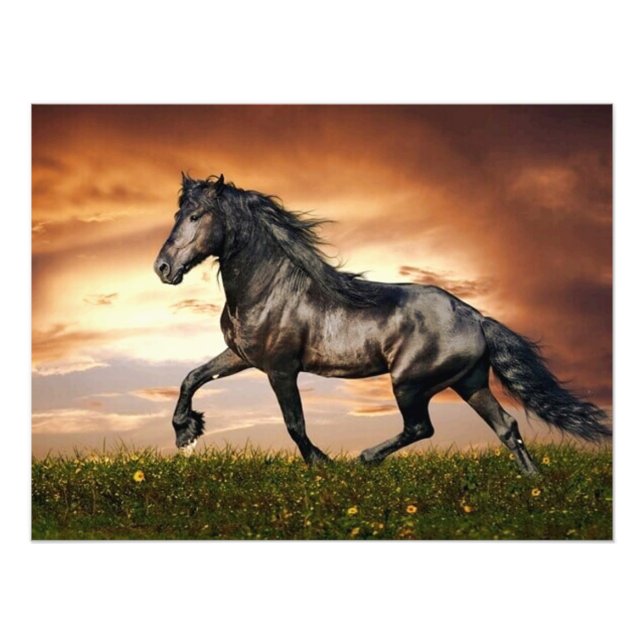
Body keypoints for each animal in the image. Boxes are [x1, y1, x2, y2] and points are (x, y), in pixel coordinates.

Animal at [154, 173, 610, 474]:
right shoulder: (241, 355)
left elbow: (294, 423)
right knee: (506, 426)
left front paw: (322, 464)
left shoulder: (280, 369)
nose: (163, 268)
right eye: (178, 213)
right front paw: (186, 432)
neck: (270, 288)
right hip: (470, 383)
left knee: (421, 427)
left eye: (196, 216)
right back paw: (533, 482)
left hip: (410, 383)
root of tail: (476, 317)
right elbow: (192, 377)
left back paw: (365, 458)